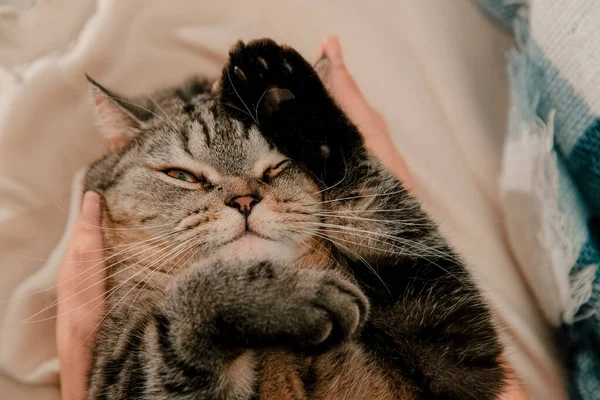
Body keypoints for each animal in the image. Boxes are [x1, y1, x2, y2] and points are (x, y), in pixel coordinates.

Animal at [84, 38, 506, 400]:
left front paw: (281, 91)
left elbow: (372, 205)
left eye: (279, 165)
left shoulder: (457, 361)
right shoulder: (116, 377)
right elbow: (183, 309)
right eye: (181, 175)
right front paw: (290, 296)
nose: (244, 200)